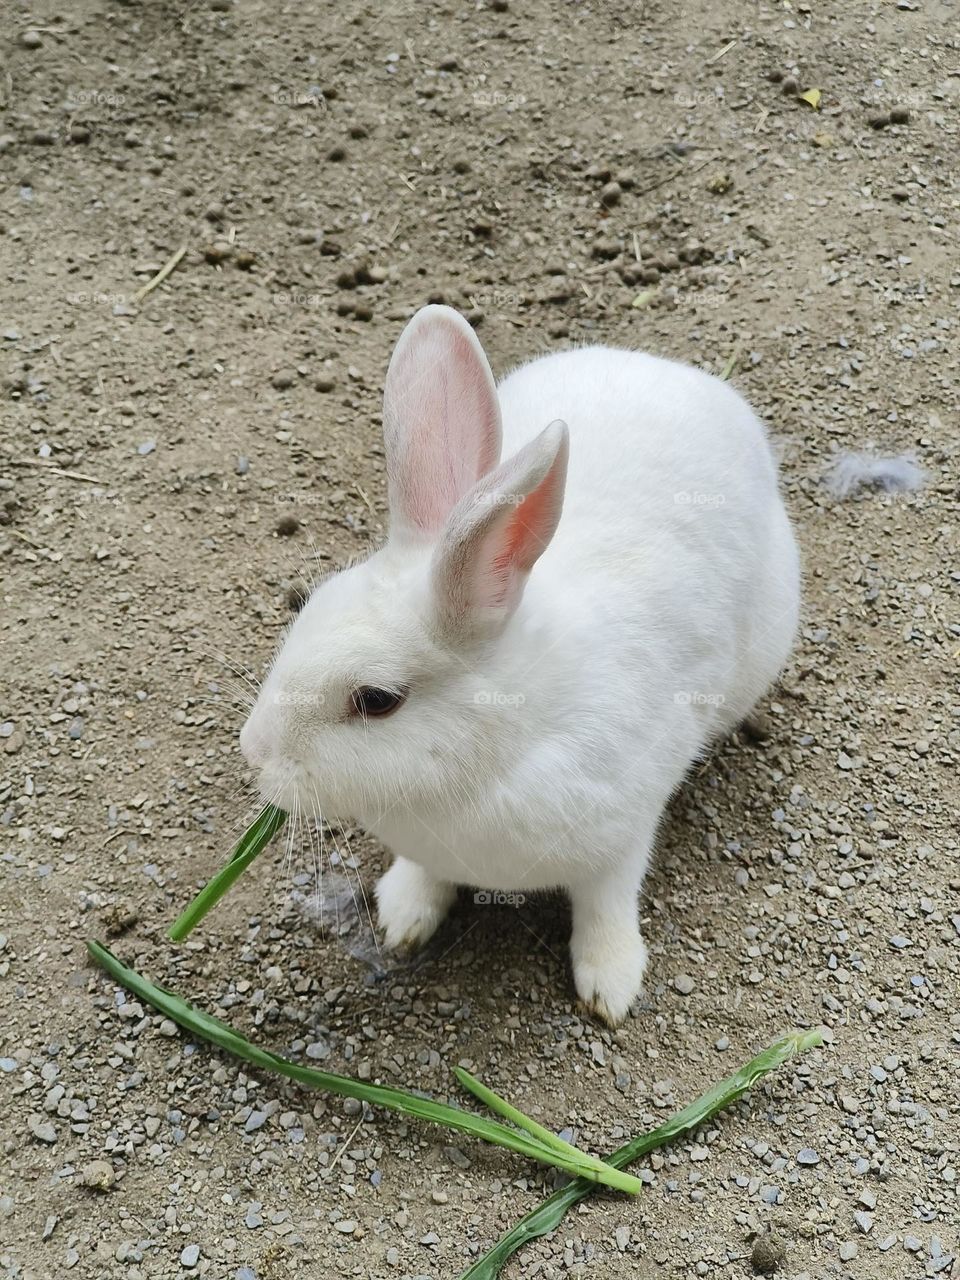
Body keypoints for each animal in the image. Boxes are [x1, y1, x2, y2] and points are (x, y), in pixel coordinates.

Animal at [240, 305, 800, 1024]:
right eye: (304, 611)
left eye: (376, 700)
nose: (254, 750)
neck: (502, 742)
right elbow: (426, 878)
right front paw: (402, 919)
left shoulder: (622, 836)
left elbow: (607, 905)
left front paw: (610, 986)